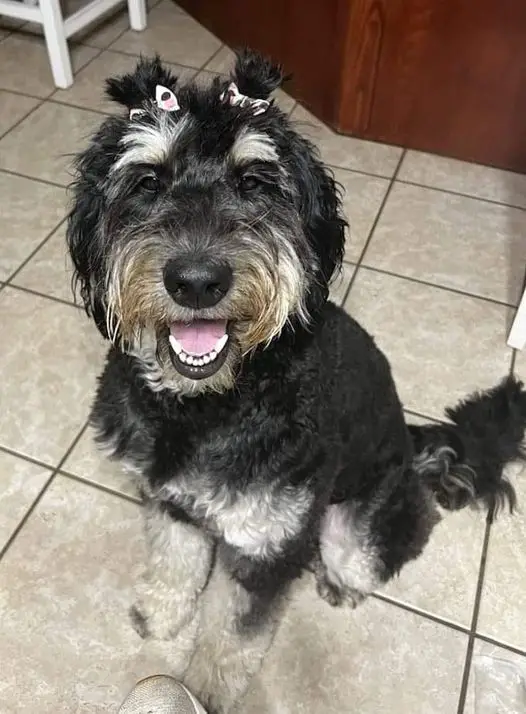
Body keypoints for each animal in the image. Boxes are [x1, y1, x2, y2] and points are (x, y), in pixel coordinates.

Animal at [66, 51, 526, 712]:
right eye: (147, 181)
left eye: (256, 182)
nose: (197, 280)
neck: (210, 406)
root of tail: (413, 446)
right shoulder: (171, 501)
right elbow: (175, 560)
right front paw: (160, 614)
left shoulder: (266, 544)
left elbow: (233, 635)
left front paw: (202, 691)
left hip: (359, 524)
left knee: (379, 542)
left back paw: (341, 580)